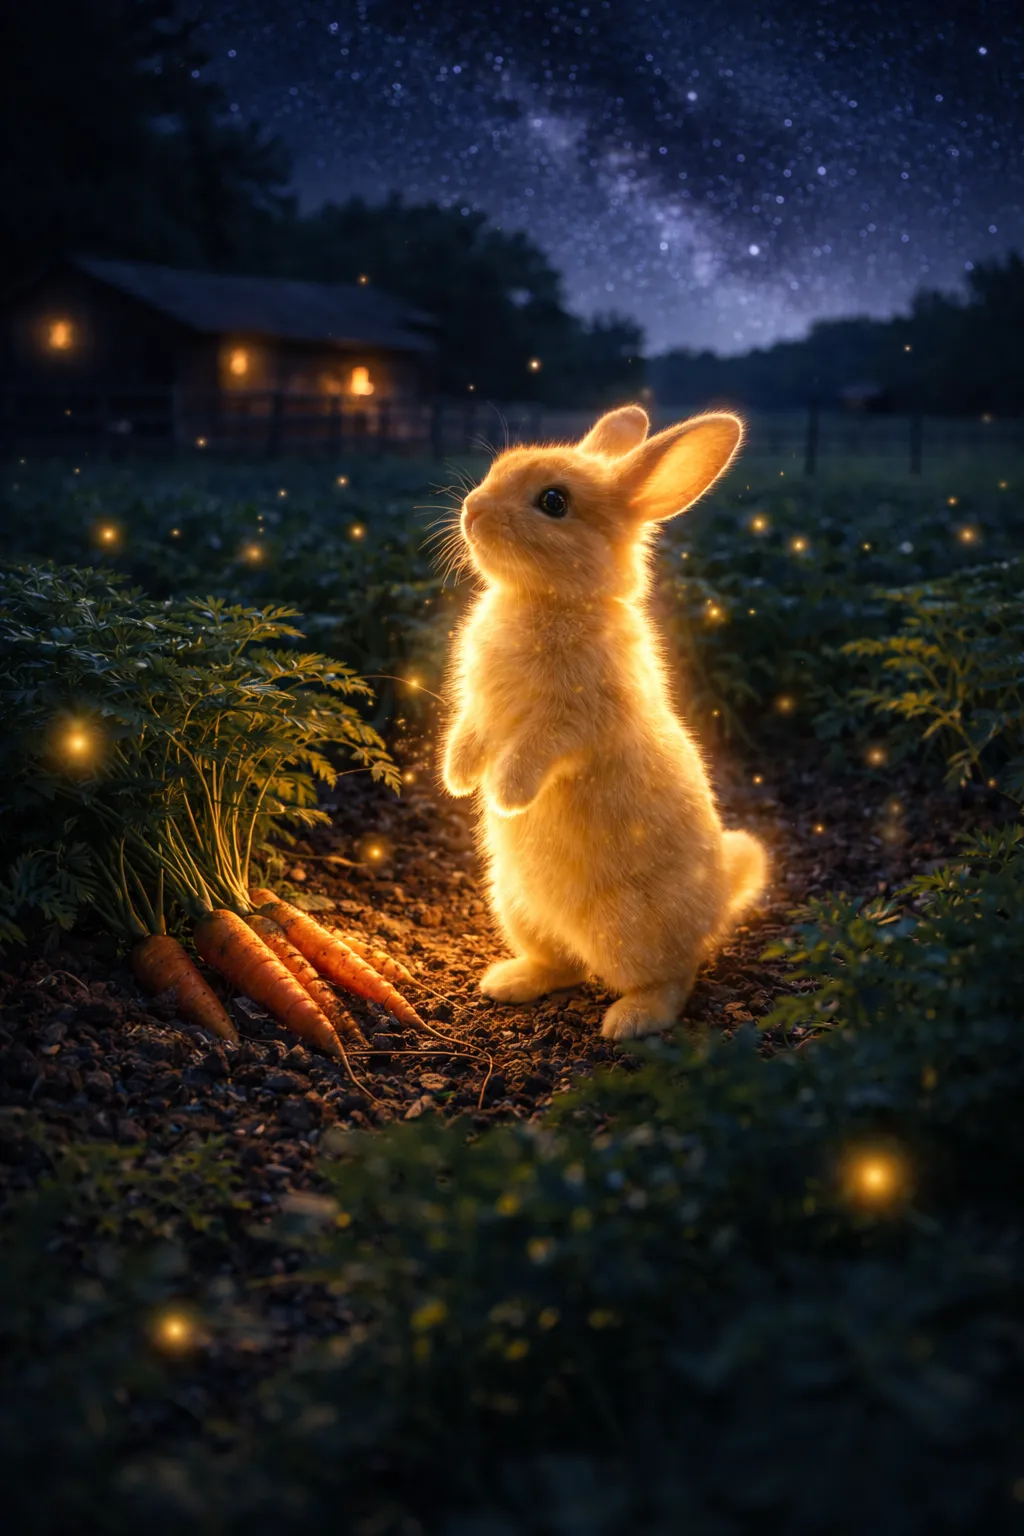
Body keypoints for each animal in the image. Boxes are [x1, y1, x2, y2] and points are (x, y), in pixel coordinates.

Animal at [440, 403, 767, 1041]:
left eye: (554, 502)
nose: (472, 510)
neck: (547, 599)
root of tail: (716, 907)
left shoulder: (574, 722)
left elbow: (534, 751)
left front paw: (506, 796)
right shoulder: (479, 708)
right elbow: (469, 735)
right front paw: (461, 781)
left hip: (630, 934)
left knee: (673, 979)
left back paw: (628, 1022)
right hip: (516, 908)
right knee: (562, 965)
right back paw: (507, 982)